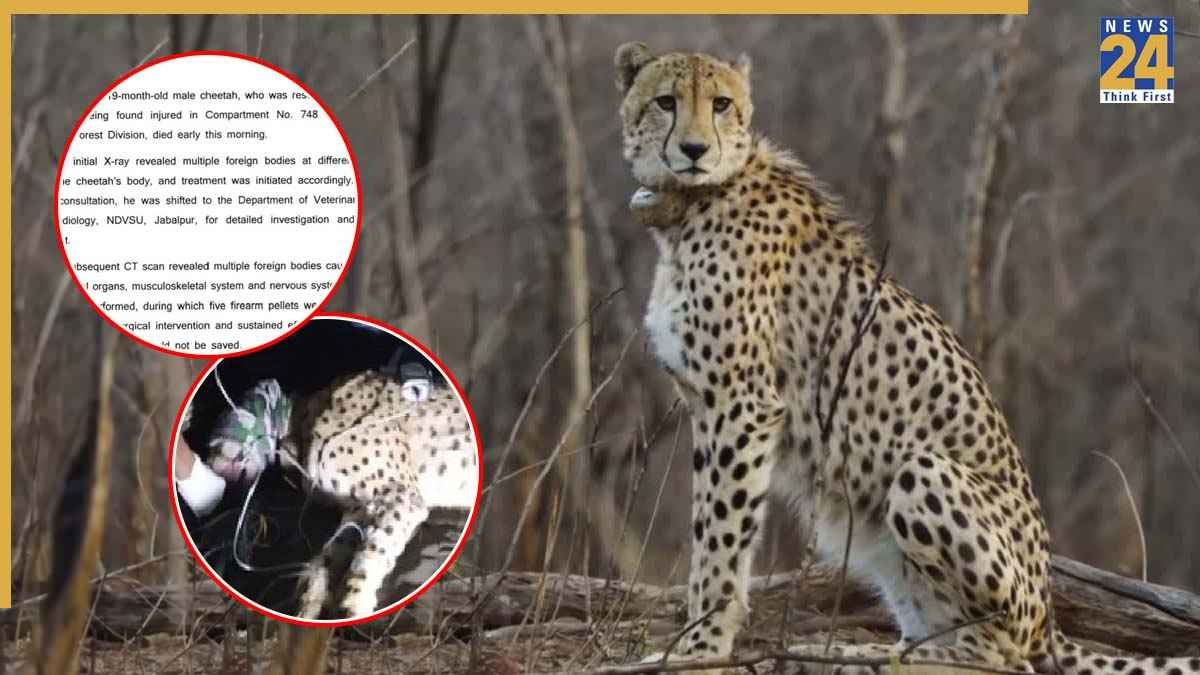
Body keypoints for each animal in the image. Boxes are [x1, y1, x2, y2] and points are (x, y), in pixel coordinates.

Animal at [206, 367, 478, 619]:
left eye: (223, 421)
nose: (209, 460)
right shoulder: (358, 509)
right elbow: (332, 552)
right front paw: (310, 604)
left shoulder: (401, 497)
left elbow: (371, 554)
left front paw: (354, 606)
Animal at [616, 41, 1199, 675]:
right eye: (666, 102)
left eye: (721, 103)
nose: (694, 149)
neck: (690, 208)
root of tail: (1048, 615)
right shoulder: (708, 406)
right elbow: (707, 523)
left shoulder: (741, 404)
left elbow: (721, 536)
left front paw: (701, 648)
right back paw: (862, 651)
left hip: (922, 472)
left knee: (1001, 658)